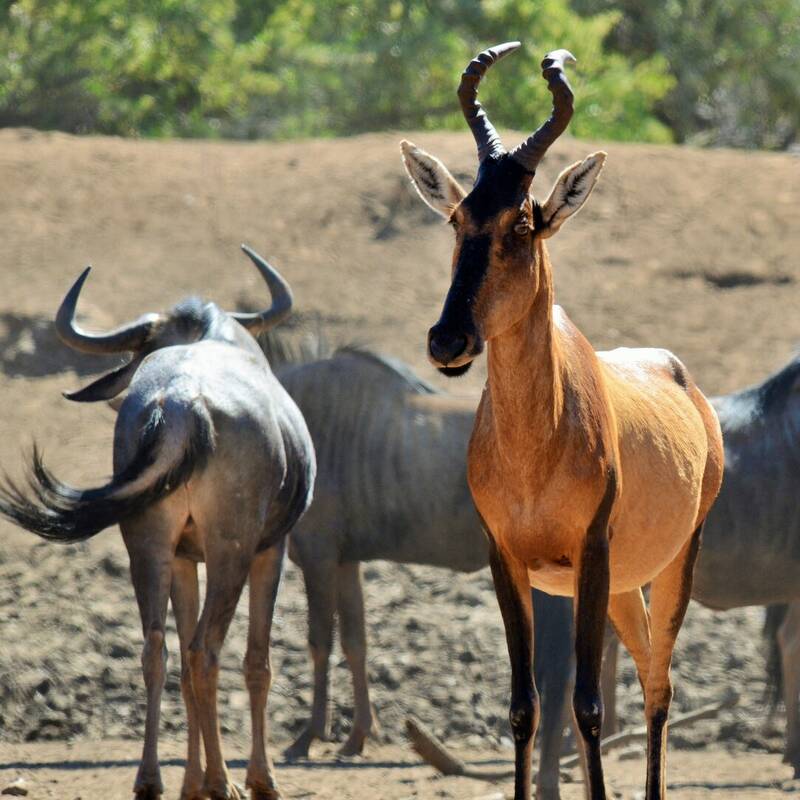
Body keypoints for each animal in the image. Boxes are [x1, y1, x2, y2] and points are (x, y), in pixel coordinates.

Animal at [0, 247, 316, 796]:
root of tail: (184, 403)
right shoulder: (269, 550)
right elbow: (257, 662)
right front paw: (257, 780)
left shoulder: (184, 559)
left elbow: (181, 662)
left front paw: (193, 780)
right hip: (230, 551)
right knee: (205, 652)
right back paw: (224, 783)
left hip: (146, 547)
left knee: (158, 652)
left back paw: (152, 779)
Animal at [404, 43, 720, 800]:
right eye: (458, 218)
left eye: (523, 221)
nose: (448, 341)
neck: (533, 446)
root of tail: (684, 382)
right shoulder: (507, 560)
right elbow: (525, 705)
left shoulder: (593, 555)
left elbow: (587, 703)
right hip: (617, 590)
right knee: (643, 668)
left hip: (671, 562)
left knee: (659, 682)